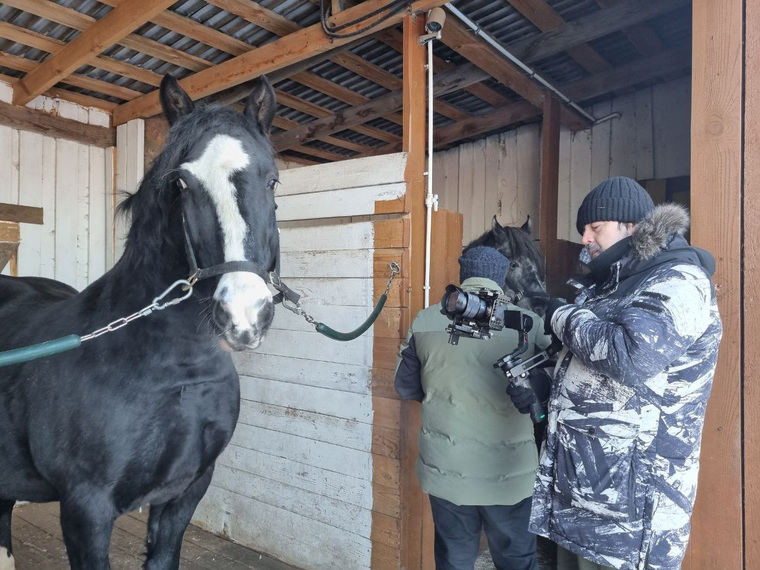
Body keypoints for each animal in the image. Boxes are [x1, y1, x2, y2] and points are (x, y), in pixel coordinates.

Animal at [0, 75, 280, 568]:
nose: (245, 315)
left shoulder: (185, 494)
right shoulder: (85, 509)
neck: (173, 370)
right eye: (182, 183)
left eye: (272, 180)